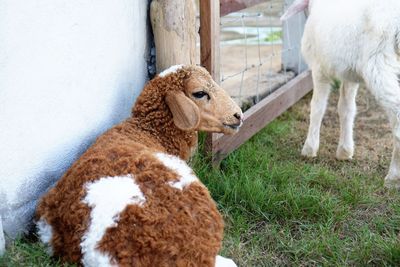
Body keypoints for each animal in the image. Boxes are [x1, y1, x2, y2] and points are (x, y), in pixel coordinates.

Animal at [282, 0, 400, 188]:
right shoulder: (350, 74)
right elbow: (346, 109)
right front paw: (345, 151)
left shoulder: (319, 68)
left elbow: (317, 108)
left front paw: (309, 148)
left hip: (378, 63)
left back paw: (393, 177)